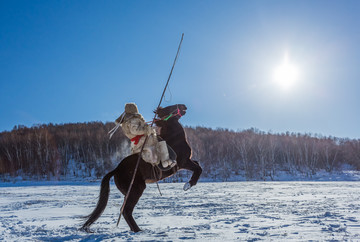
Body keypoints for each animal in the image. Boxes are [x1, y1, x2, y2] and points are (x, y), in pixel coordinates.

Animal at [81, 103, 202, 233]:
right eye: (169, 107)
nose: (183, 106)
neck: (175, 138)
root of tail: (116, 170)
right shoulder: (184, 162)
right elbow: (198, 169)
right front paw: (188, 185)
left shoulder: (187, 162)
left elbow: (198, 164)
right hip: (136, 190)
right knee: (126, 210)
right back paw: (138, 230)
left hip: (129, 192)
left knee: (124, 210)